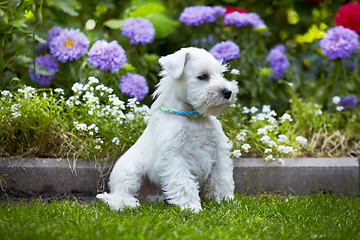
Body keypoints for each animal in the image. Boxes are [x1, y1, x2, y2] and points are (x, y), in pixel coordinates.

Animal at [97, 47, 239, 212]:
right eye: (203, 76)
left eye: (221, 74)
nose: (228, 92)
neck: (192, 117)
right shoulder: (175, 155)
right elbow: (183, 182)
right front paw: (191, 207)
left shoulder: (219, 150)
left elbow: (221, 177)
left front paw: (224, 200)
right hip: (130, 171)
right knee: (118, 196)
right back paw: (130, 204)